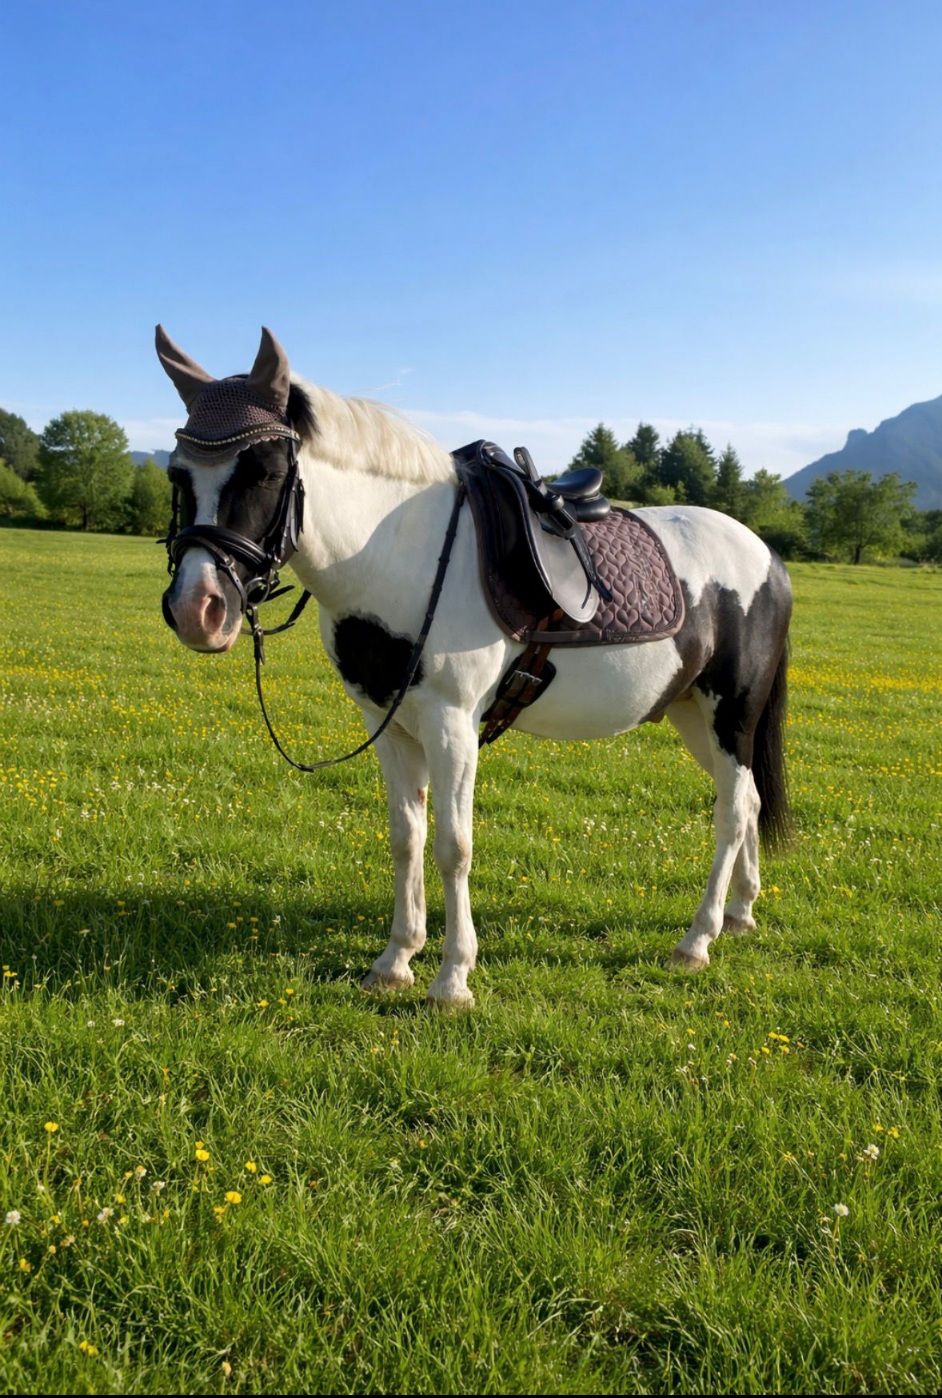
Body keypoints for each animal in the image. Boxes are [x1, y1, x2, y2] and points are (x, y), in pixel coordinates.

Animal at [156, 326, 792, 1009]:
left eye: (268, 471)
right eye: (177, 473)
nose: (197, 609)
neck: (400, 550)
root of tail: (767, 556)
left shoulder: (452, 723)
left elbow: (453, 846)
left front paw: (452, 978)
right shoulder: (389, 724)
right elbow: (405, 837)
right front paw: (395, 960)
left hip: (732, 713)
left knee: (732, 813)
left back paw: (698, 939)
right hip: (692, 715)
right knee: (749, 801)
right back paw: (740, 913)